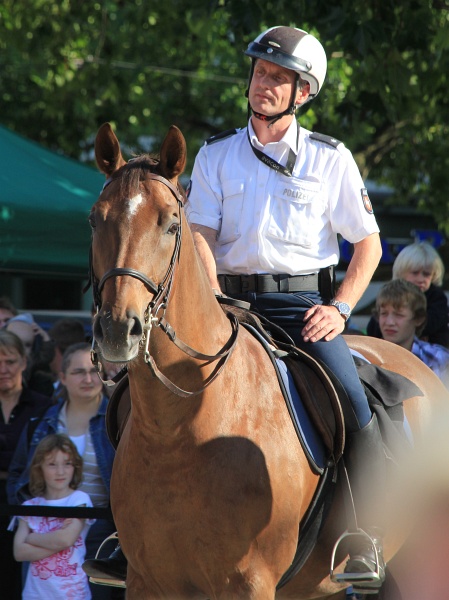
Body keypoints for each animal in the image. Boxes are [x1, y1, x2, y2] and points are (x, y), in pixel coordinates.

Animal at [89, 123, 446, 600]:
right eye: (96, 219)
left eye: (170, 224)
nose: (116, 329)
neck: (180, 427)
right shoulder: (149, 582)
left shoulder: (248, 581)